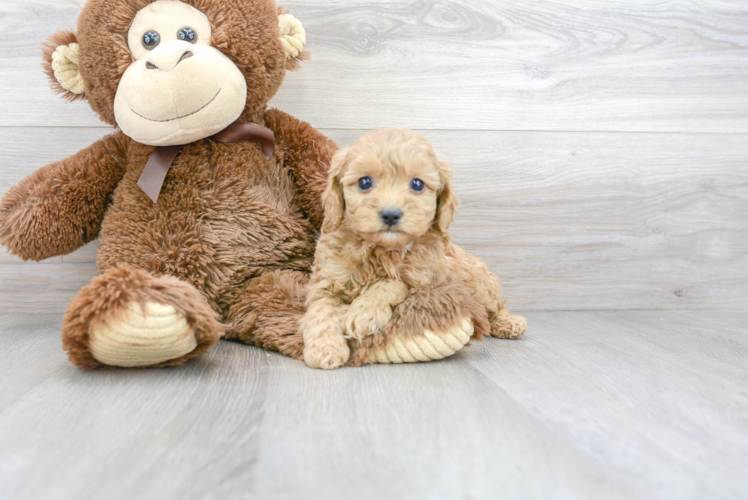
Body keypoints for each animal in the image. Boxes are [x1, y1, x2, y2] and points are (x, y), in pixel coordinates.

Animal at [298, 130, 524, 372]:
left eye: (417, 184)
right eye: (364, 182)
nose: (390, 214)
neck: (382, 249)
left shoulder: (425, 278)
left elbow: (392, 282)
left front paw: (364, 313)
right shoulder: (327, 279)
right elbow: (320, 310)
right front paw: (324, 349)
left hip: (480, 285)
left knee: (496, 307)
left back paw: (510, 322)